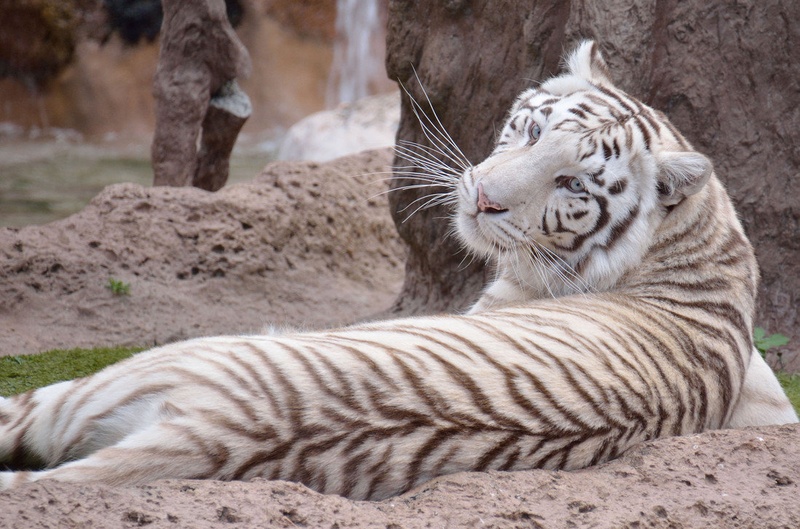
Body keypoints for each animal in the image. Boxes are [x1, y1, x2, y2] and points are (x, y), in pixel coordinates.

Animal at [0, 41, 795, 501]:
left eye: (573, 184)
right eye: (534, 128)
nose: (483, 197)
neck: (706, 238)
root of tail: (214, 433)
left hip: (121, 376)